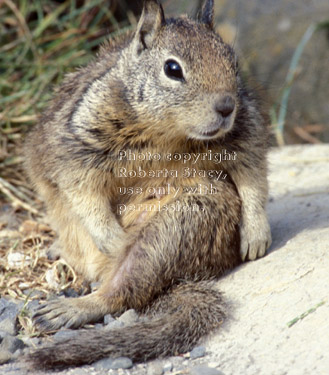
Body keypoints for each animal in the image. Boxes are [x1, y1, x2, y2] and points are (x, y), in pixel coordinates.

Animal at [24, 0, 270, 370]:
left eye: (233, 61)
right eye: (172, 69)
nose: (227, 106)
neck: (168, 133)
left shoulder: (246, 135)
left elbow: (254, 180)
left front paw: (256, 235)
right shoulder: (75, 148)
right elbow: (83, 193)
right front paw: (111, 237)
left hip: (177, 225)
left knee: (123, 292)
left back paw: (71, 307)